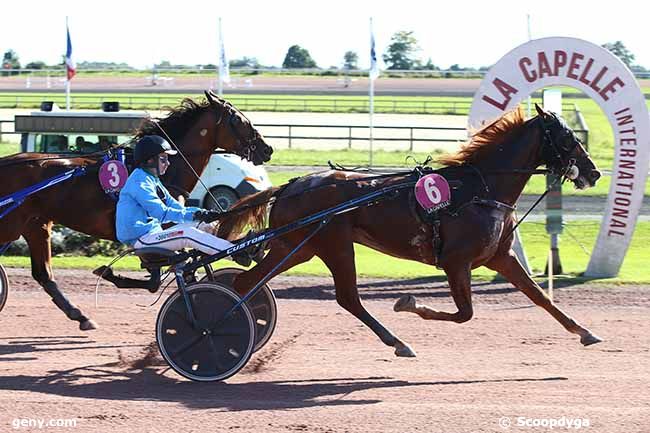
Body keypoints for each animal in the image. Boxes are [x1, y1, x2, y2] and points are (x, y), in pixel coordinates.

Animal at [0, 90, 270, 328]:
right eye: (238, 119)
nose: (267, 149)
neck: (163, 171)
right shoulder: (154, 235)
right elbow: (159, 279)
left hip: (37, 225)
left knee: (44, 274)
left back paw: (80, 316)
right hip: (11, 225)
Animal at [219, 104, 604, 354]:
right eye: (567, 137)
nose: (594, 172)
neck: (478, 188)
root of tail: (291, 185)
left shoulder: (500, 257)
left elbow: (539, 296)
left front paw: (584, 331)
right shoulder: (455, 261)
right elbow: (464, 314)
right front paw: (407, 302)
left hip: (296, 247)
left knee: (246, 284)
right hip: (333, 246)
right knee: (347, 297)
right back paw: (398, 342)